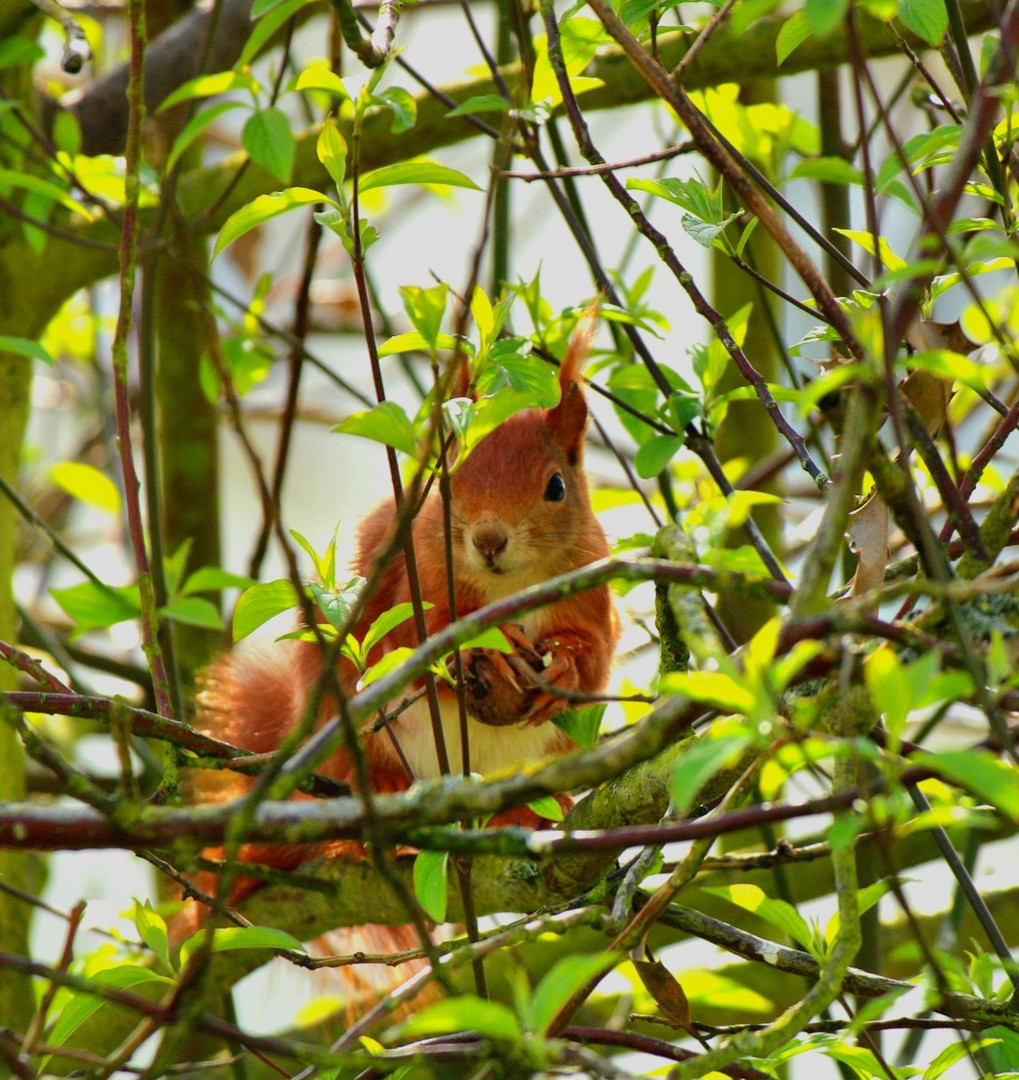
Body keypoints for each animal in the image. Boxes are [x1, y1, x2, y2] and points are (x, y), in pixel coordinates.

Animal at [179, 321, 617, 937]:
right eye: (449, 475)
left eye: (556, 486)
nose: (488, 539)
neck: (509, 587)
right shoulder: (404, 581)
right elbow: (409, 640)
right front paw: (489, 646)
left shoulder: (593, 591)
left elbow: (595, 655)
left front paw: (567, 669)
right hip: (342, 732)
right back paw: (384, 798)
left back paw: (532, 815)